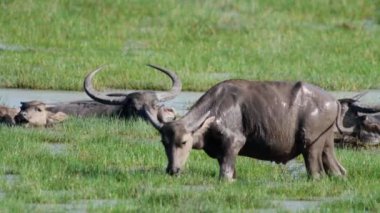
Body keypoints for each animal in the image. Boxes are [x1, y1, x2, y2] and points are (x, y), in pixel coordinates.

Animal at [145, 79, 348, 181]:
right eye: (164, 142)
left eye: (184, 142)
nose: (173, 170)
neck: (216, 108)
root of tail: (333, 101)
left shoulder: (234, 143)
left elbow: (225, 174)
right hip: (326, 145)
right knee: (338, 170)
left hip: (311, 147)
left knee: (316, 173)